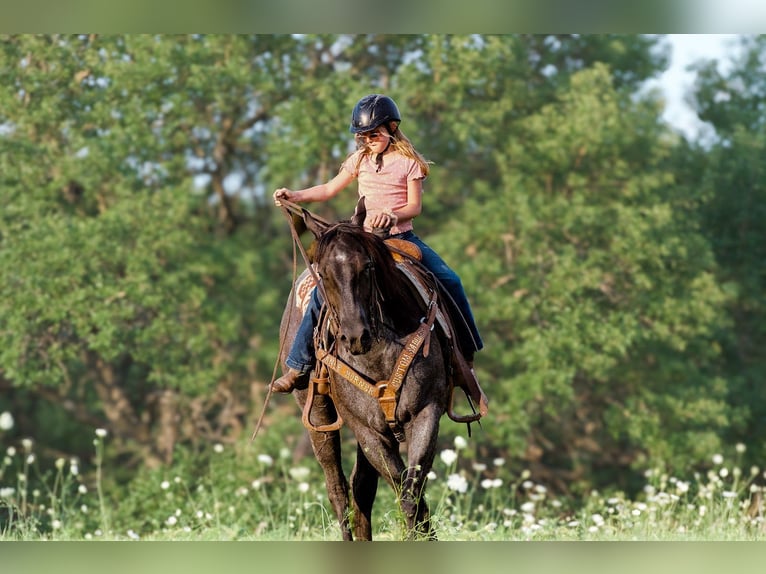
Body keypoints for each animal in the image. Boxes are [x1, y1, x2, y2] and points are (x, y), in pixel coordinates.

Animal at [280, 204, 452, 544]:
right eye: (324, 273)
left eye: (368, 265)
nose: (355, 336)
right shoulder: (368, 430)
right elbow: (401, 488)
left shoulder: (426, 414)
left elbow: (412, 491)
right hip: (318, 417)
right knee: (338, 490)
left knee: (362, 486)